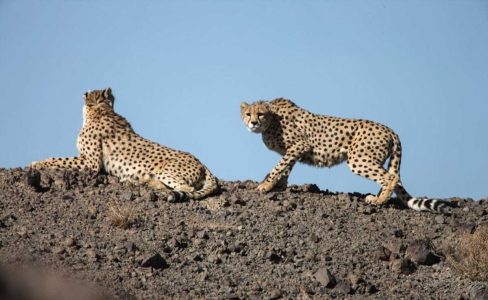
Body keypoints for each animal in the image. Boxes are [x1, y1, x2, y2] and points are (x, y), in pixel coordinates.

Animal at [31, 86, 218, 200]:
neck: (101, 110)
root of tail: (202, 163)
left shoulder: (91, 163)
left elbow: (59, 159)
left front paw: (37, 163)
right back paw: (139, 180)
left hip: (164, 170)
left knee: (186, 189)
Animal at [242, 98, 456, 213]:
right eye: (247, 114)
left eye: (260, 114)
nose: (253, 123)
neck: (272, 120)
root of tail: (390, 129)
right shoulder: (294, 150)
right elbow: (286, 167)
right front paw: (279, 186)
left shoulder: (300, 144)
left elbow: (279, 166)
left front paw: (265, 186)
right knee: (390, 176)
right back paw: (378, 197)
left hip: (358, 159)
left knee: (391, 177)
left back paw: (378, 201)